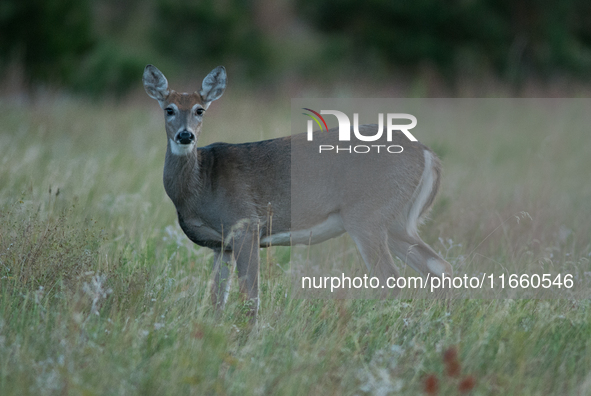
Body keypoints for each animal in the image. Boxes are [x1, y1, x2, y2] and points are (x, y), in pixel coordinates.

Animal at [143, 64, 454, 318]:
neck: (201, 183)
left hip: (368, 214)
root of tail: (427, 154)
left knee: (390, 279)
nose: (185, 135)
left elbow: (250, 297)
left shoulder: (246, 224)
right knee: (438, 266)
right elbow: (216, 300)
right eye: (169, 109)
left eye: (200, 110)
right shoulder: (221, 244)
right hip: (397, 220)